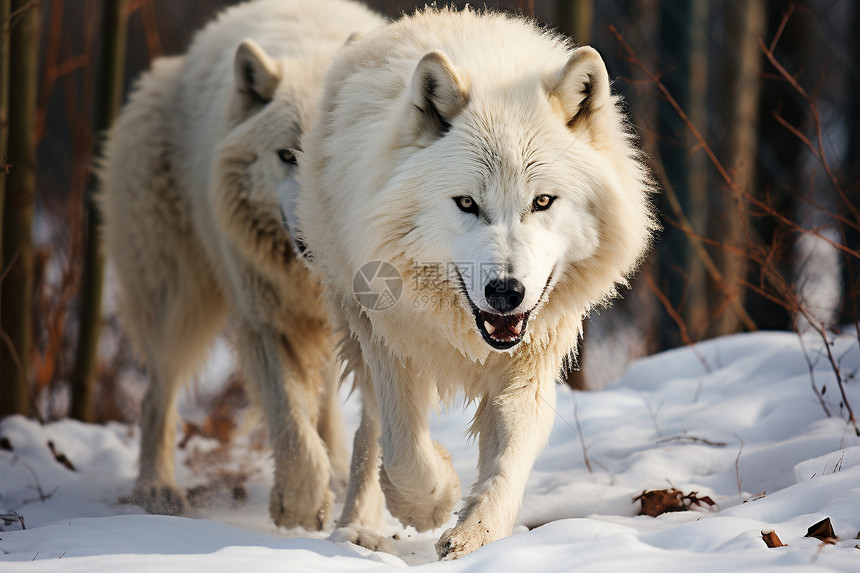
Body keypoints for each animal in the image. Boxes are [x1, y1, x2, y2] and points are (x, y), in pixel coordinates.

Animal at [98, 0, 382, 528]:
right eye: (287, 155)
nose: (315, 236)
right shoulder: (264, 321)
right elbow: (288, 416)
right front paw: (300, 503)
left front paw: (353, 514)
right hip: (177, 300)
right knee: (155, 396)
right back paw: (157, 491)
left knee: (326, 397)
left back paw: (336, 471)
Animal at [298, 6, 656, 556]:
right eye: (467, 203)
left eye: (542, 201)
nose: (506, 293)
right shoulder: (390, 341)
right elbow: (404, 448)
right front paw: (433, 501)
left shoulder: (533, 358)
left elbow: (508, 456)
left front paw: (477, 534)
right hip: (358, 323)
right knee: (374, 429)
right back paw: (359, 525)